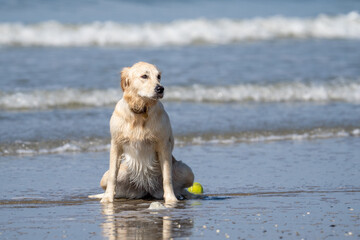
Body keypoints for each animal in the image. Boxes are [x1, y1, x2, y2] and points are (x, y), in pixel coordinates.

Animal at [94, 61, 194, 204]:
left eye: (159, 77)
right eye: (144, 76)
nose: (160, 89)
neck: (140, 111)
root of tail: (147, 188)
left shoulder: (163, 144)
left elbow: (167, 177)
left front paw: (171, 199)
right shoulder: (116, 144)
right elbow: (113, 175)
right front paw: (107, 198)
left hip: (187, 171)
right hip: (107, 177)